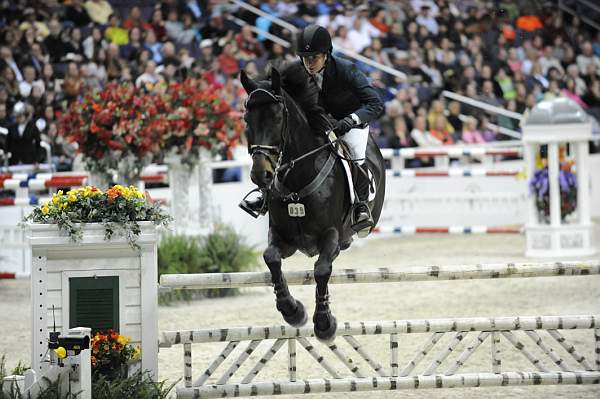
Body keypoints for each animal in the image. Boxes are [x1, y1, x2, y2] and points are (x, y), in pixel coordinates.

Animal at [239, 68, 384, 340]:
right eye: (246, 119)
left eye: (277, 118)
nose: (260, 175)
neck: (298, 180)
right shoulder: (283, 238)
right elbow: (270, 257)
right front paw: (292, 310)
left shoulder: (331, 235)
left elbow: (322, 269)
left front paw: (324, 323)